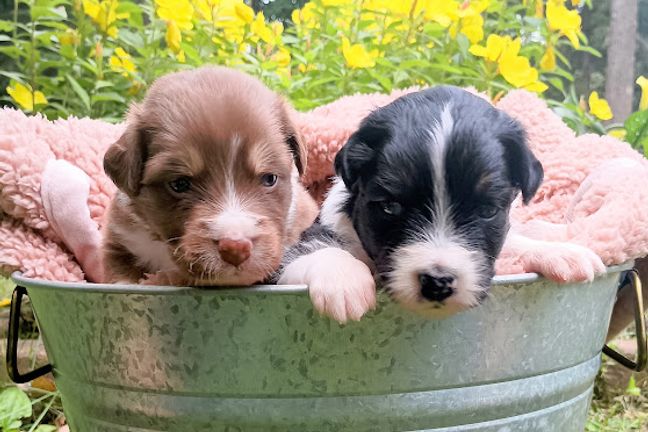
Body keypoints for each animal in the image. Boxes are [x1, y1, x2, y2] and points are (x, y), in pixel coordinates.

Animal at [278, 86, 605, 322]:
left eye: (487, 210)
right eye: (390, 207)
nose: (438, 283)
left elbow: (513, 241)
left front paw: (560, 252)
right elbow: (317, 249)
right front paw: (345, 282)